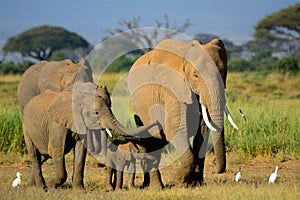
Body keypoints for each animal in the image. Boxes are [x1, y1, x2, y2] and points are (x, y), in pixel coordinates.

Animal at [127, 38, 238, 188]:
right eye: (196, 75)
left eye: (223, 72)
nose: (216, 166)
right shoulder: (170, 89)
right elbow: (174, 128)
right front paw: (179, 180)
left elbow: (202, 132)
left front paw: (195, 183)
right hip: (139, 110)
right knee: (151, 143)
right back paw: (157, 187)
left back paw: (148, 184)